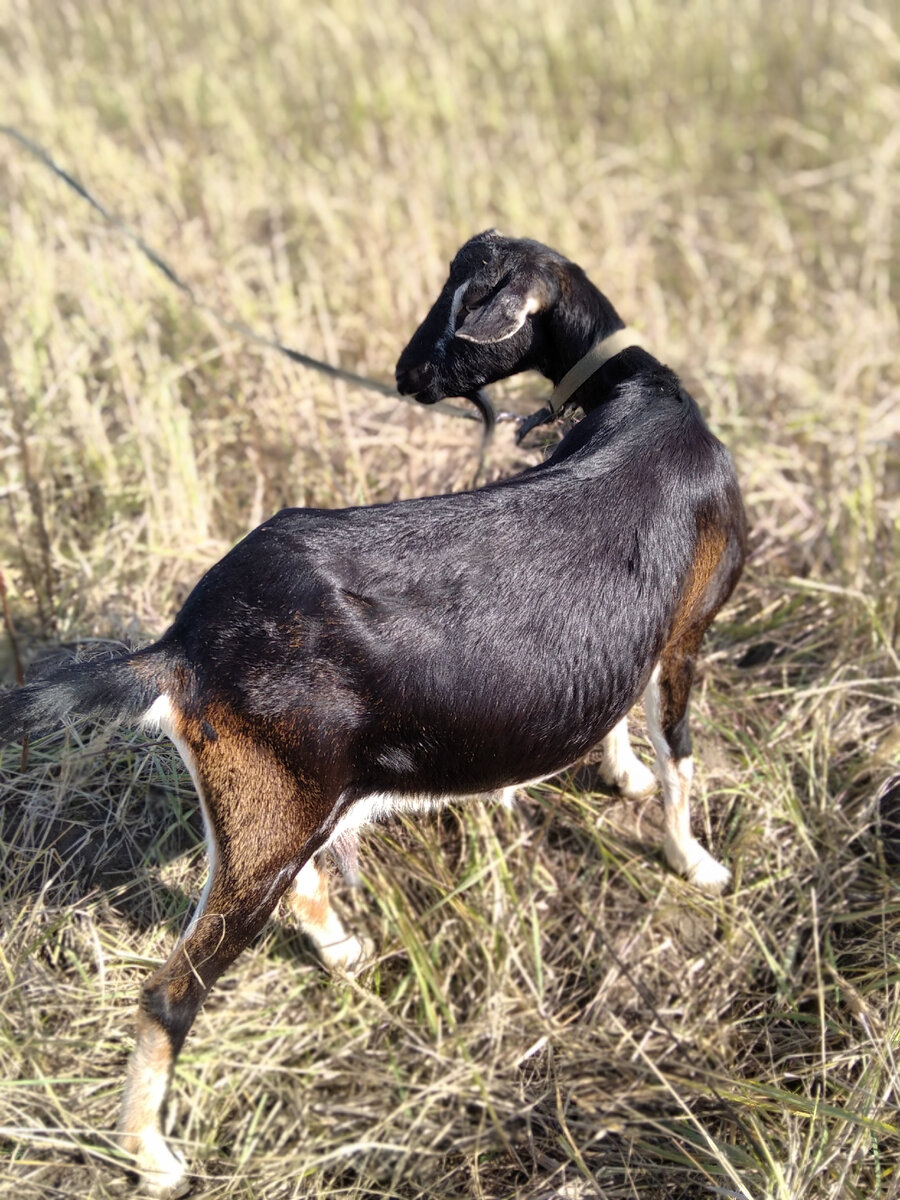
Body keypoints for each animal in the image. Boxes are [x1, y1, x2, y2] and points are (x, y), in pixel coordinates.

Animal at [0, 229, 748, 1195]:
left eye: (463, 300)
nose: (405, 372)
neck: (636, 396)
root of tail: (182, 649)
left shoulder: (636, 631)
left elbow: (623, 710)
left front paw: (619, 775)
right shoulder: (691, 625)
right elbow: (680, 748)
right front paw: (697, 865)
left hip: (276, 801)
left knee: (298, 880)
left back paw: (345, 954)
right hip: (272, 803)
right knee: (172, 993)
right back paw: (153, 1156)